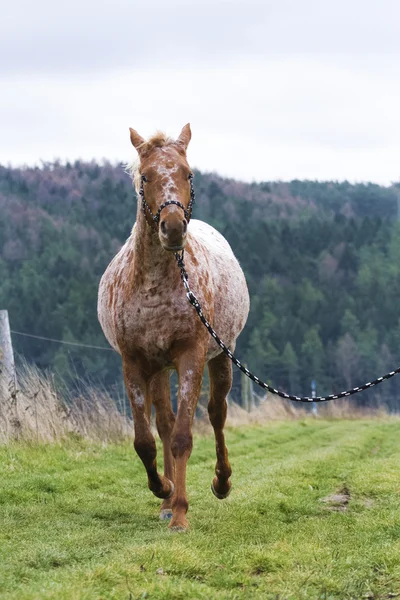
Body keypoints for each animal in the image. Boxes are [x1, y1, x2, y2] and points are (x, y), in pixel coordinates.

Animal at [98, 125, 248, 528]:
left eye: (188, 174)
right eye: (146, 176)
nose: (174, 228)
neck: (154, 284)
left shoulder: (190, 357)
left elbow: (183, 436)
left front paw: (180, 512)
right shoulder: (134, 363)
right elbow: (145, 440)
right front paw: (163, 489)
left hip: (220, 356)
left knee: (216, 412)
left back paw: (220, 483)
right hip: (159, 370)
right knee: (163, 423)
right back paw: (165, 498)